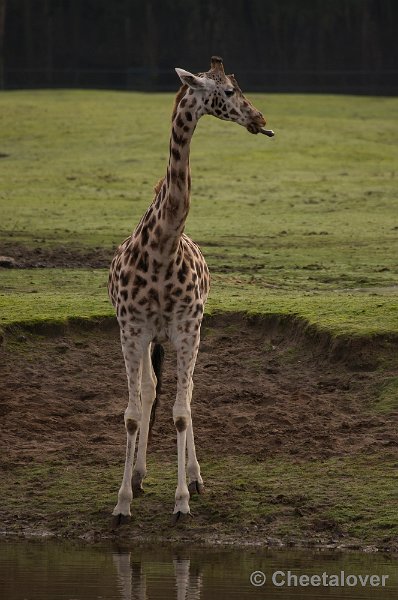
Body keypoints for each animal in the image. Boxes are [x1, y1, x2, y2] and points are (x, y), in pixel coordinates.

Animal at [107, 56, 274, 524]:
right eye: (230, 91)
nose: (261, 119)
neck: (163, 246)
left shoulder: (186, 326)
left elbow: (181, 412)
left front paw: (181, 499)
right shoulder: (132, 329)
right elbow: (131, 413)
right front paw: (122, 501)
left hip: (189, 333)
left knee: (189, 390)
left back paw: (196, 479)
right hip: (152, 338)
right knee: (150, 389)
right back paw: (139, 475)